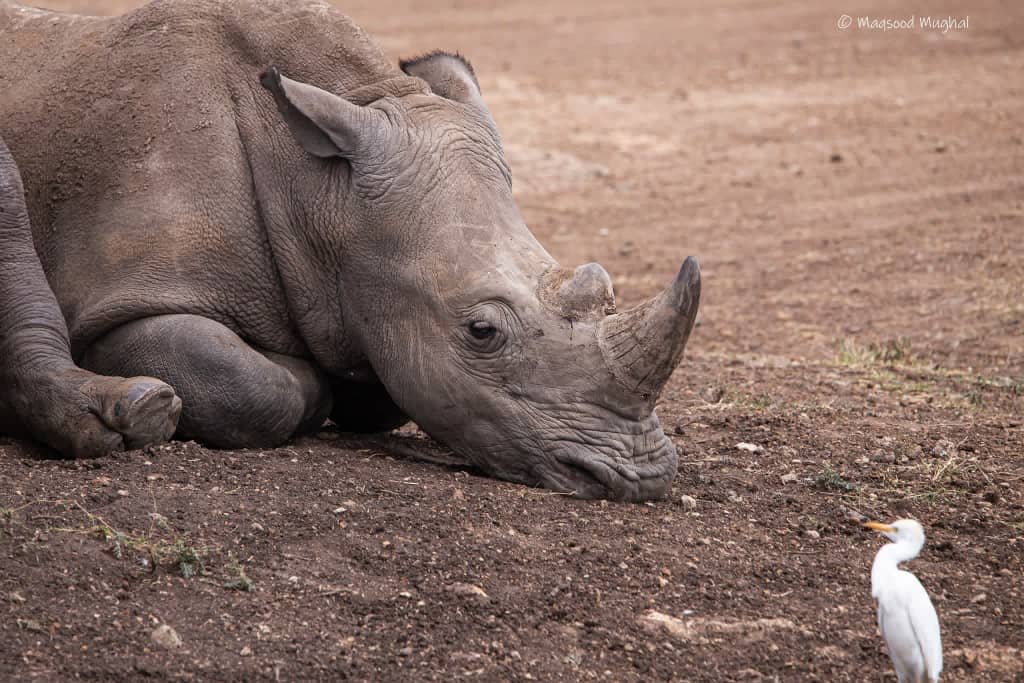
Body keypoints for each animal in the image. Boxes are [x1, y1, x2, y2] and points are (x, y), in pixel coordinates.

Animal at [0, 0, 700, 501]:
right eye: (481, 332)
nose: (641, 477)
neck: (319, 191)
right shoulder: (125, 295)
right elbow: (257, 386)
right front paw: (308, 390)